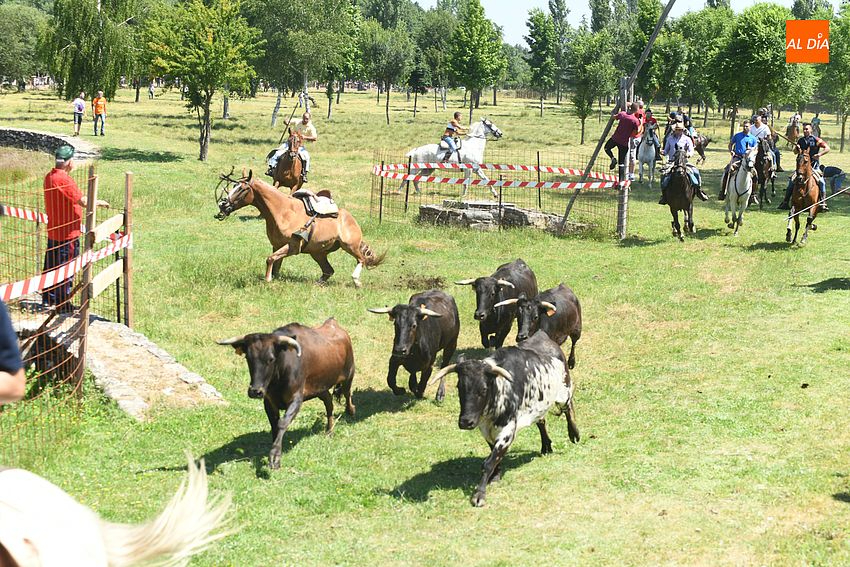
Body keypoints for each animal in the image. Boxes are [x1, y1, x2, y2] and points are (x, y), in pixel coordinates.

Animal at [215, 170, 385, 287]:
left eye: (242, 189)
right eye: (234, 186)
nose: (223, 204)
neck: (283, 211)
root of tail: (350, 218)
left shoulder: (293, 246)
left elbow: (270, 259)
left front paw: (268, 280)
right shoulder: (277, 245)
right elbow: (275, 263)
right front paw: (273, 278)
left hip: (349, 245)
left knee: (361, 259)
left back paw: (356, 281)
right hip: (318, 253)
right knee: (328, 270)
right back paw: (317, 284)